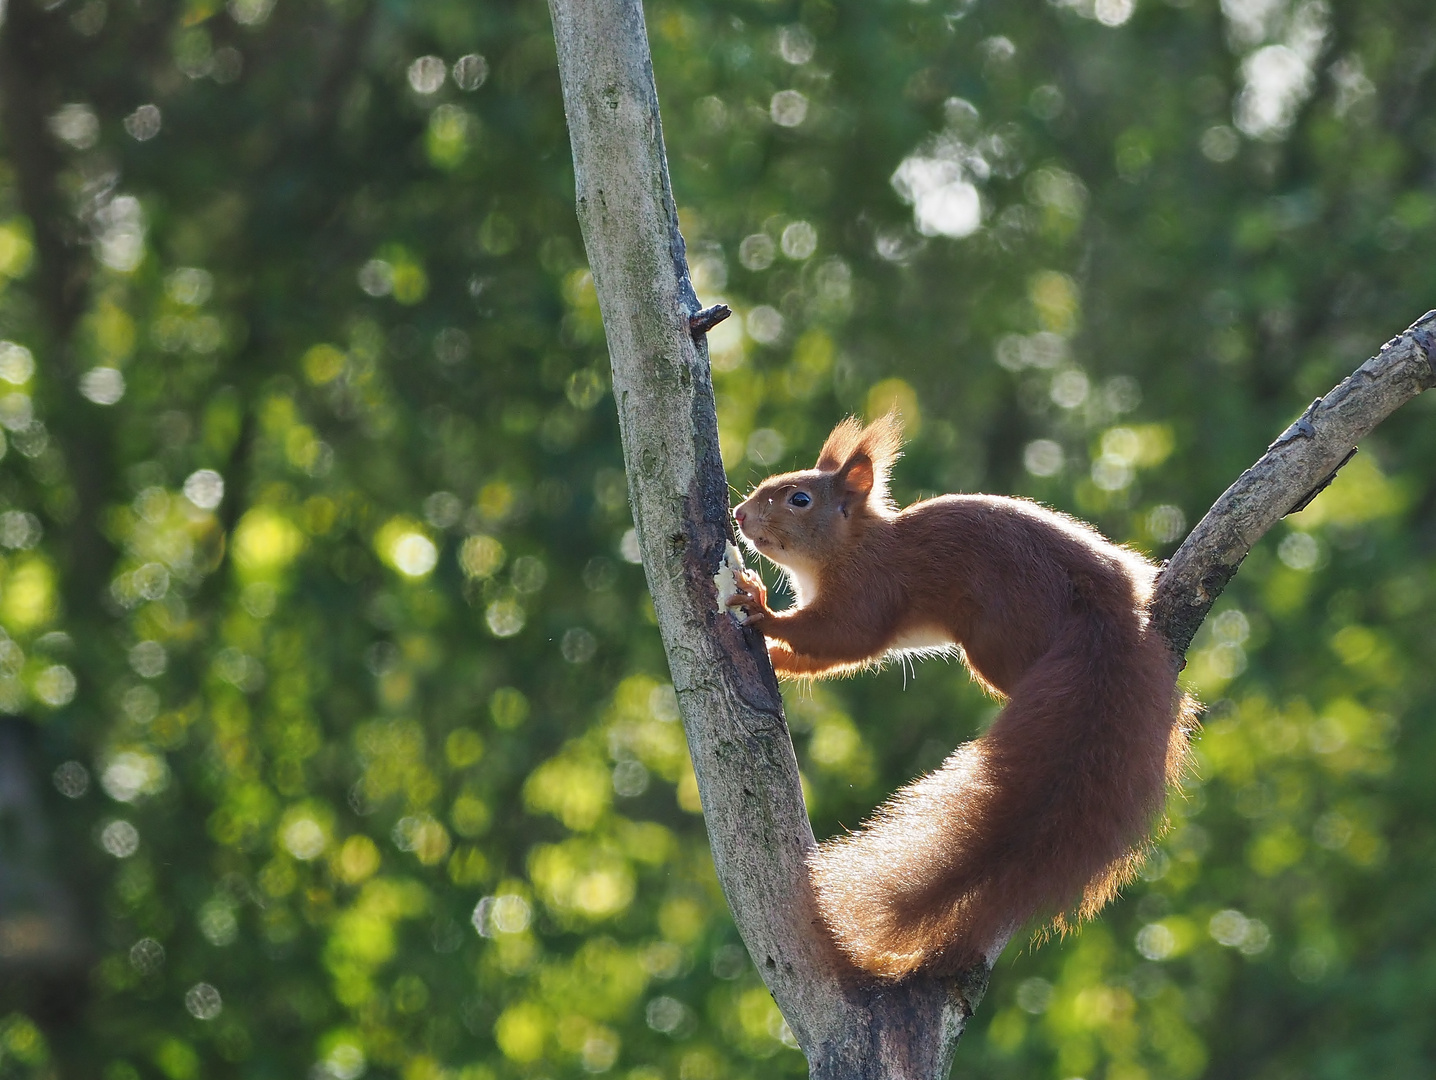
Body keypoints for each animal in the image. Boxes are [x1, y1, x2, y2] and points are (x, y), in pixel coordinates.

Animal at [723, 413, 1194, 976]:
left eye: (799, 499)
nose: (739, 514)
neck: (853, 545)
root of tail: (1105, 617)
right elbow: (823, 657)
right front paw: (776, 654)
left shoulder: (869, 592)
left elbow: (841, 639)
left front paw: (763, 610)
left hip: (996, 642)